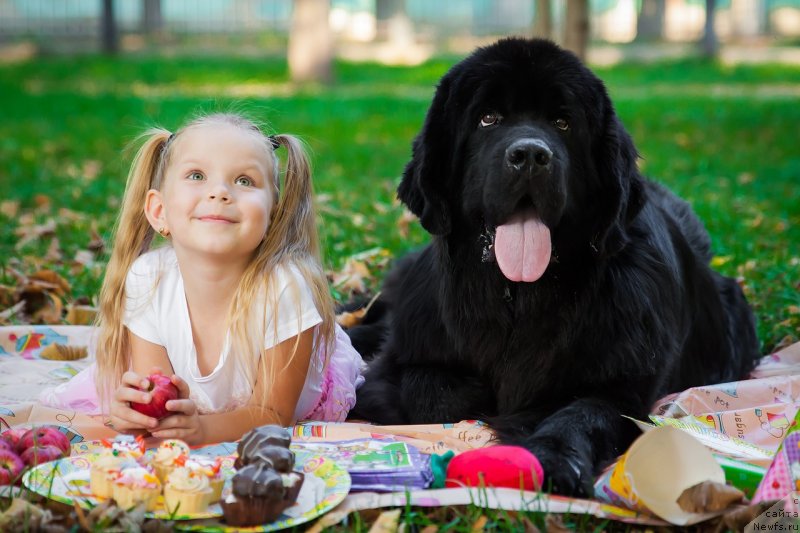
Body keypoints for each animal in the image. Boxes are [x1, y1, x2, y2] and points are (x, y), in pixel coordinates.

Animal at [346, 38, 760, 498]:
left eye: (563, 123)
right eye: (488, 118)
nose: (529, 155)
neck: (519, 296)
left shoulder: (623, 386)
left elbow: (582, 414)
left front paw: (554, 456)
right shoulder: (406, 359)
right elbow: (437, 393)